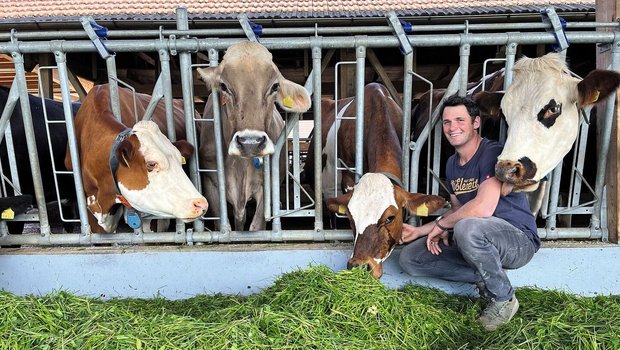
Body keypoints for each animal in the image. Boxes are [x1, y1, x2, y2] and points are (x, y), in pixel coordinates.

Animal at [196, 41, 312, 231]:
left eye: (274, 86)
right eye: (224, 86)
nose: (250, 142)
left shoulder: (267, 186)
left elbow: (256, 226)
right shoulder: (211, 183)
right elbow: (224, 226)